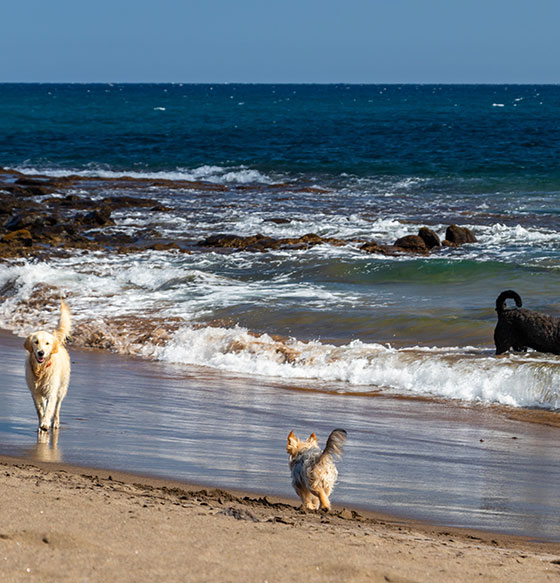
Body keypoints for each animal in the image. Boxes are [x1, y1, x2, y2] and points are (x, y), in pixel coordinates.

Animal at [24, 302, 72, 434]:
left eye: (47, 343)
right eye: (36, 342)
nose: (41, 353)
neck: (41, 369)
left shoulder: (52, 391)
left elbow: (50, 408)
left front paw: (45, 424)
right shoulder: (35, 392)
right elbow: (40, 409)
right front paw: (42, 424)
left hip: (61, 389)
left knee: (57, 408)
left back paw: (55, 423)